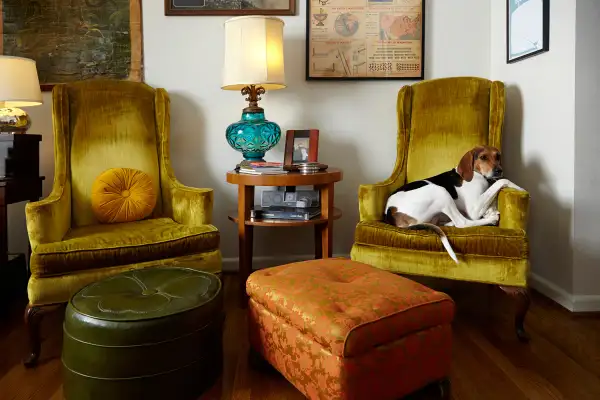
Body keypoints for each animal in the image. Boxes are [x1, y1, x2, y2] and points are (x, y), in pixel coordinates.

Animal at [384, 145, 524, 264]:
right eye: (483, 157)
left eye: (498, 156)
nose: (499, 171)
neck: (477, 174)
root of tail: (389, 212)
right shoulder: (474, 209)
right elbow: (502, 181)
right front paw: (520, 188)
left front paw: (491, 208)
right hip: (441, 191)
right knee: (462, 223)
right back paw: (491, 219)